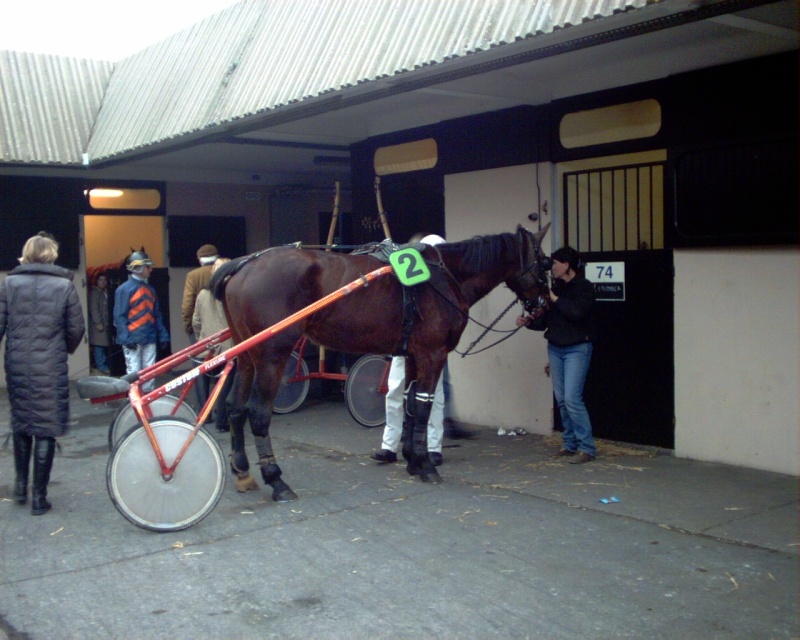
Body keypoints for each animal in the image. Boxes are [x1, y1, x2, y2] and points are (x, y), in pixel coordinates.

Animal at [209, 224, 552, 500]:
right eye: (544, 263)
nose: (543, 307)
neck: (443, 277)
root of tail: (245, 264)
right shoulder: (432, 354)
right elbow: (424, 406)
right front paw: (426, 464)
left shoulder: (413, 355)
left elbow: (411, 404)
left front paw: (412, 459)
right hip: (272, 357)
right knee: (257, 415)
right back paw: (276, 480)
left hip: (247, 357)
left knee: (236, 408)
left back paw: (243, 470)